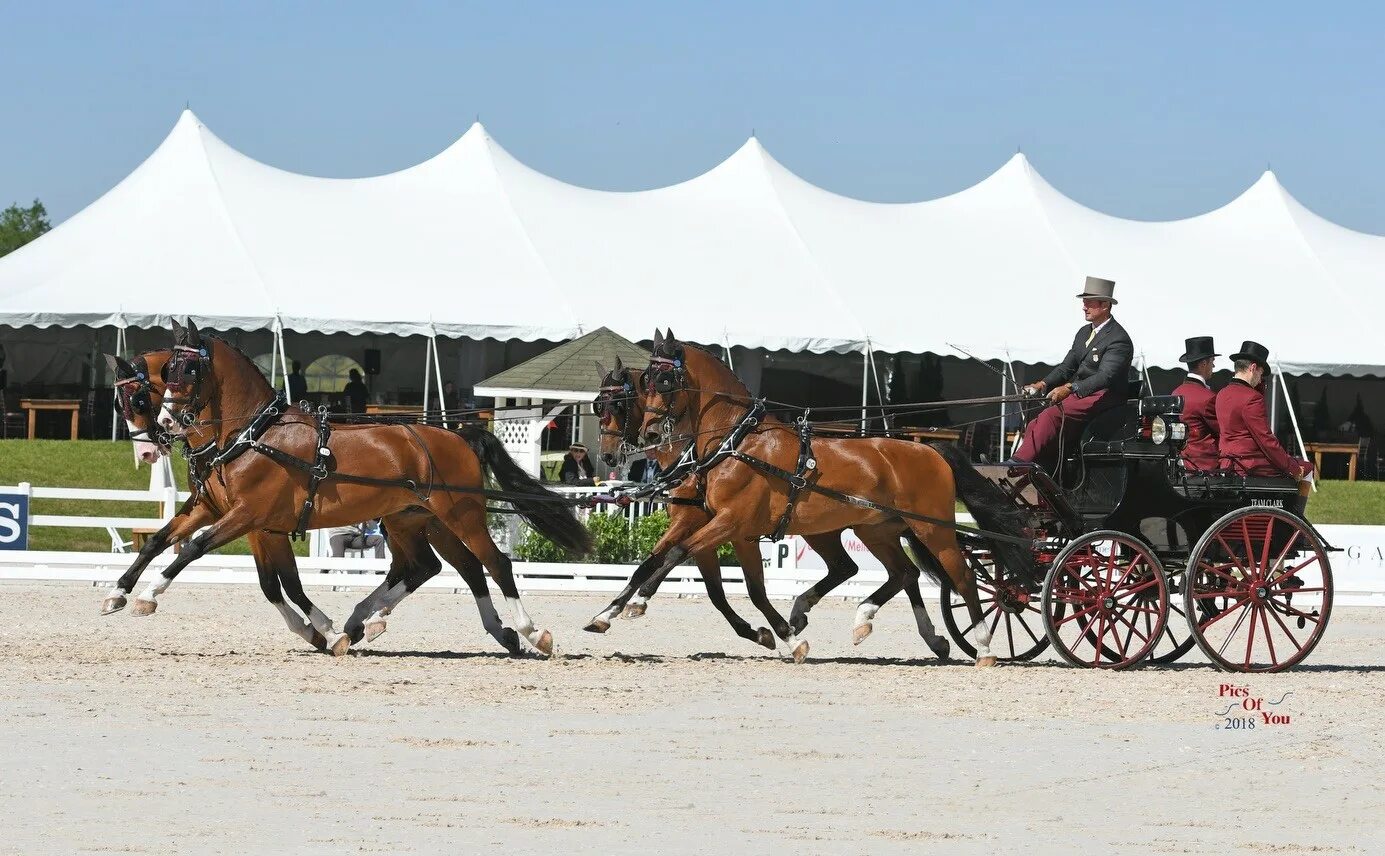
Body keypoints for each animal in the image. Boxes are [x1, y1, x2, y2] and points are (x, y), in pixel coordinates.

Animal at [154, 319, 592, 653]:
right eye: (166, 370)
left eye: (188, 370)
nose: (165, 423)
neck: (254, 435)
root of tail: (459, 436)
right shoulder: (256, 523)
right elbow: (275, 583)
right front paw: (326, 631)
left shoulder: (249, 515)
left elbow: (196, 548)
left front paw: (147, 595)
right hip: (415, 520)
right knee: (443, 567)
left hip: (461, 516)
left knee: (494, 563)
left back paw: (531, 632)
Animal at [634, 329, 1035, 662]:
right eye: (644, 380)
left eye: (665, 379)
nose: (649, 433)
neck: (739, 443)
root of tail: (930, 449)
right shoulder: (736, 530)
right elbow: (741, 584)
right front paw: (788, 635)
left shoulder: (731, 522)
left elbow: (676, 552)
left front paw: (637, 601)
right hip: (875, 529)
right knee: (900, 573)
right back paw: (859, 619)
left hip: (934, 530)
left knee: (963, 578)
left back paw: (983, 646)